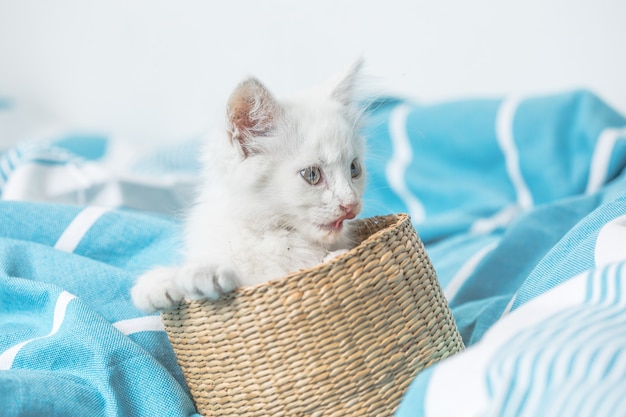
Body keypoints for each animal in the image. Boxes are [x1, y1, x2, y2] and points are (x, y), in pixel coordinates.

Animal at [132, 60, 366, 310]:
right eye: (312, 174)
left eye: (354, 168)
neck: (265, 233)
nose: (351, 204)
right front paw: (164, 281)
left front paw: (204, 273)